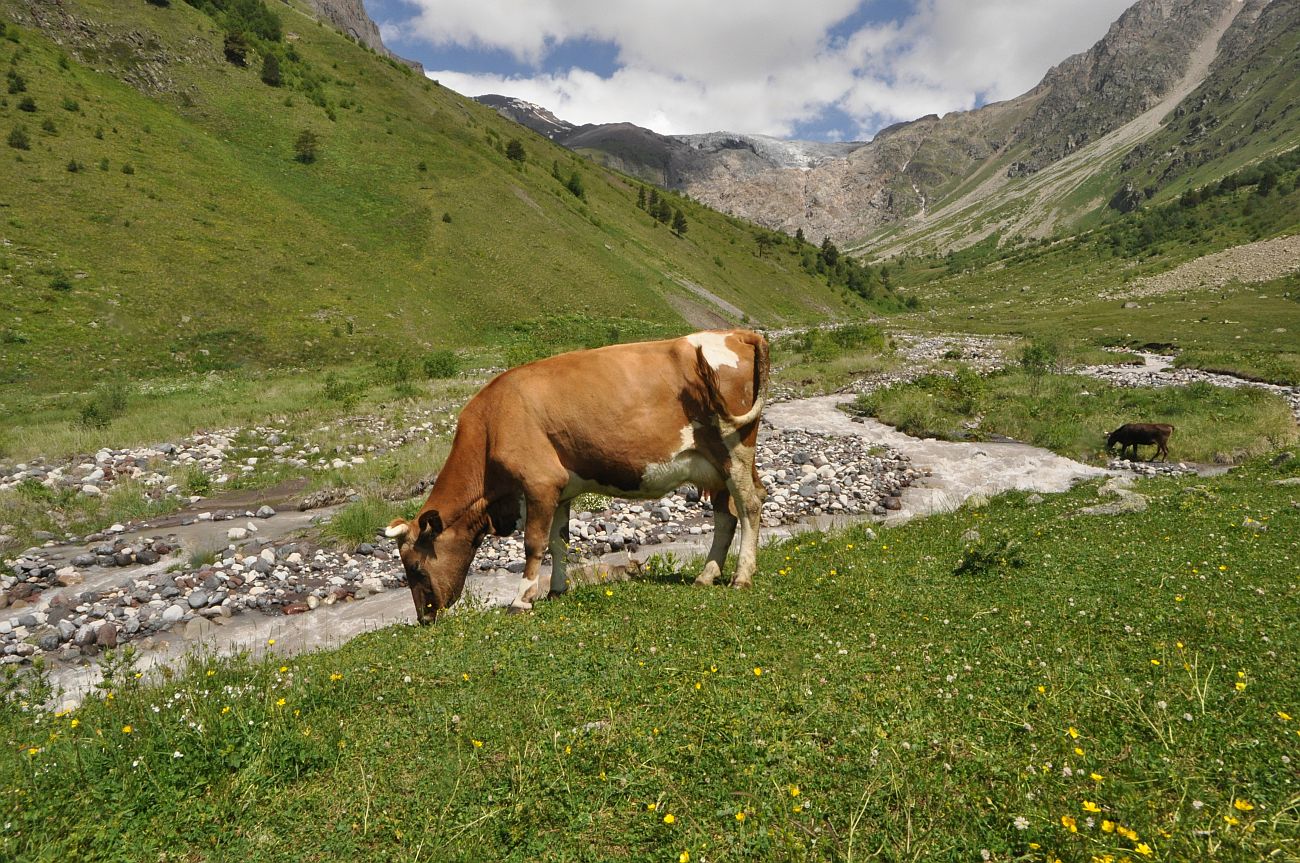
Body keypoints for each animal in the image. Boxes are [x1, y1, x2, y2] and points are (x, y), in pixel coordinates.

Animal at [384, 328, 769, 621]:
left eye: (415, 568)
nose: (424, 618)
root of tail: (737, 332)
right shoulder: (562, 489)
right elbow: (559, 542)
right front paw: (556, 590)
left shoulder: (539, 482)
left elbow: (534, 543)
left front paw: (521, 600)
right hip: (716, 467)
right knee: (726, 516)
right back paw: (707, 575)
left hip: (734, 449)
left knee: (749, 505)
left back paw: (741, 577)